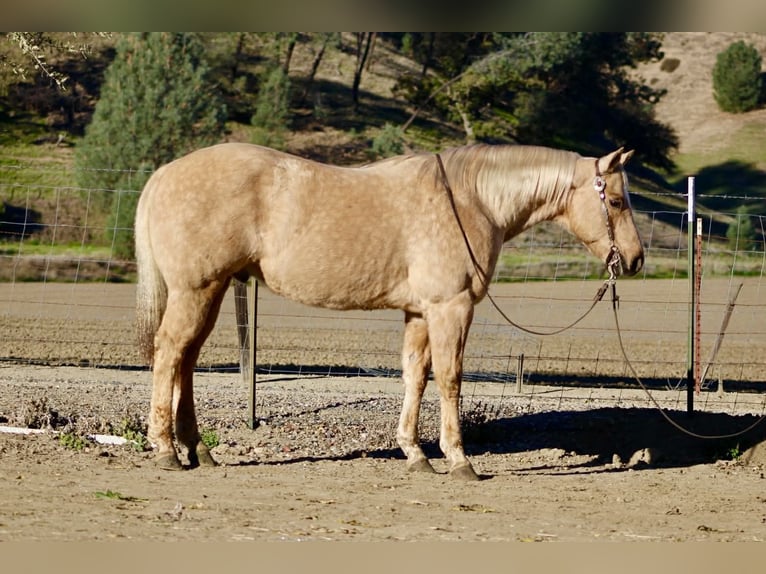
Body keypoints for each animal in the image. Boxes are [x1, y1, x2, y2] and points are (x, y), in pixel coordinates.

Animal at [134, 142, 644, 481]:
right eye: (617, 201)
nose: (636, 260)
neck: (472, 201)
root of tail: (164, 174)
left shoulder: (419, 313)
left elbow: (415, 376)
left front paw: (415, 454)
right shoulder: (451, 308)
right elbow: (450, 378)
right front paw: (459, 460)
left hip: (210, 291)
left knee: (186, 360)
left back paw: (197, 450)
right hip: (195, 290)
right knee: (169, 353)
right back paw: (165, 450)